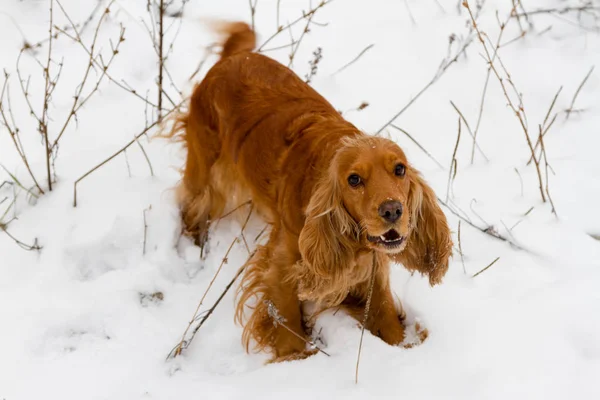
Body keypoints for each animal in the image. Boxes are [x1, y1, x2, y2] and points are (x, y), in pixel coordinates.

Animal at [166, 20, 452, 360]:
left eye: (400, 169)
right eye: (354, 180)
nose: (393, 210)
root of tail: (231, 58)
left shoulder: (371, 271)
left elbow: (385, 317)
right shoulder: (282, 264)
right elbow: (287, 321)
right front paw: (294, 360)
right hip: (206, 168)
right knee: (191, 207)